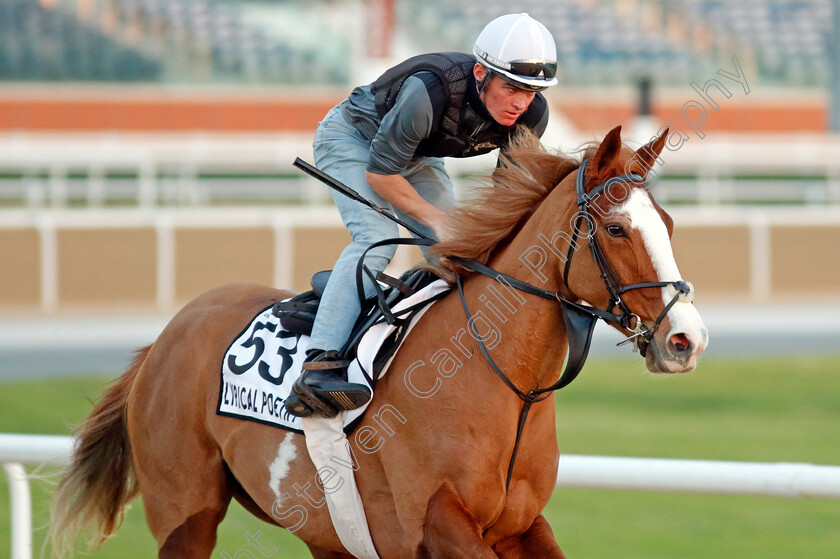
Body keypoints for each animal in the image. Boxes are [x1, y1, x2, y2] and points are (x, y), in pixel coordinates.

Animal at [49, 127, 708, 559]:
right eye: (616, 228)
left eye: (669, 224)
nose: (686, 338)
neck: (505, 386)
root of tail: (165, 337)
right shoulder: (438, 524)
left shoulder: (521, 526)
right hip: (185, 512)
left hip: (327, 534)